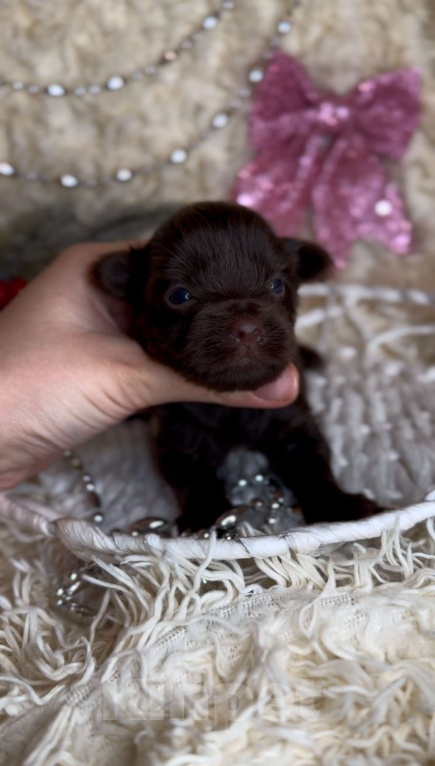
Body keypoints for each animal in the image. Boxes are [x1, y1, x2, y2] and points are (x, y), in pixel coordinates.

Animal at [93, 201, 380, 532]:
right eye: (179, 295)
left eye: (277, 285)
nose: (247, 328)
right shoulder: (180, 433)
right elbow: (193, 474)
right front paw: (205, 516)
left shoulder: (293, 421)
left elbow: (313, 464)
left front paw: (339, 506)